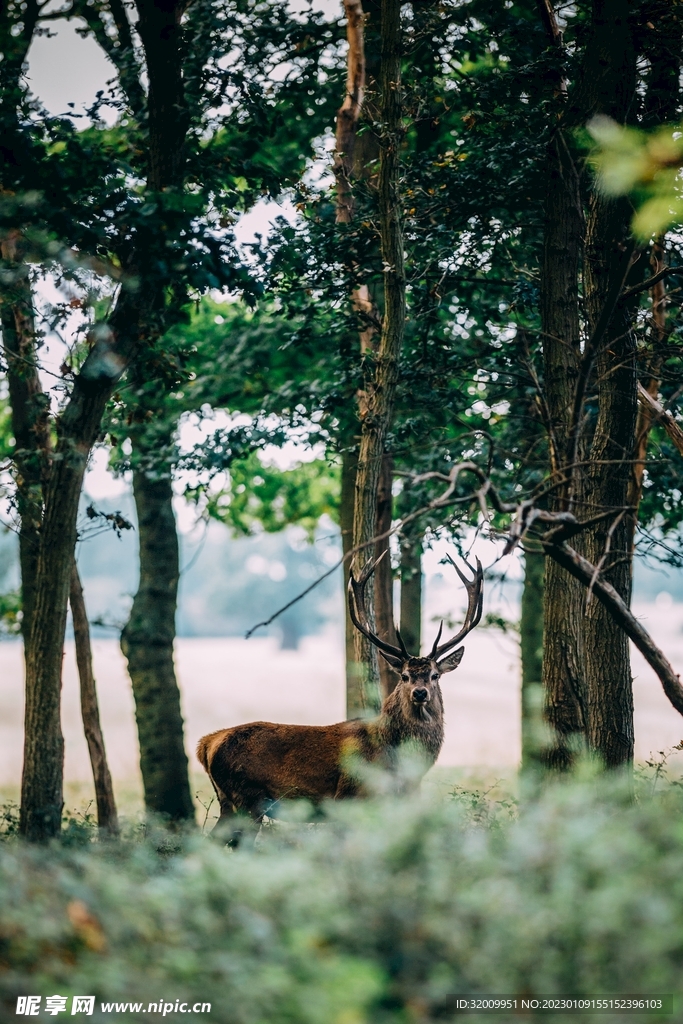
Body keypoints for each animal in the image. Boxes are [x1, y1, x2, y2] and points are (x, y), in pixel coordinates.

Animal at [197, 553, 483, 839]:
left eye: (435, 675)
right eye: (404, 676)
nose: (420, 692)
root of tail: (206, 744)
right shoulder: (351, 798)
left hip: (228, 800)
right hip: (247, 797)